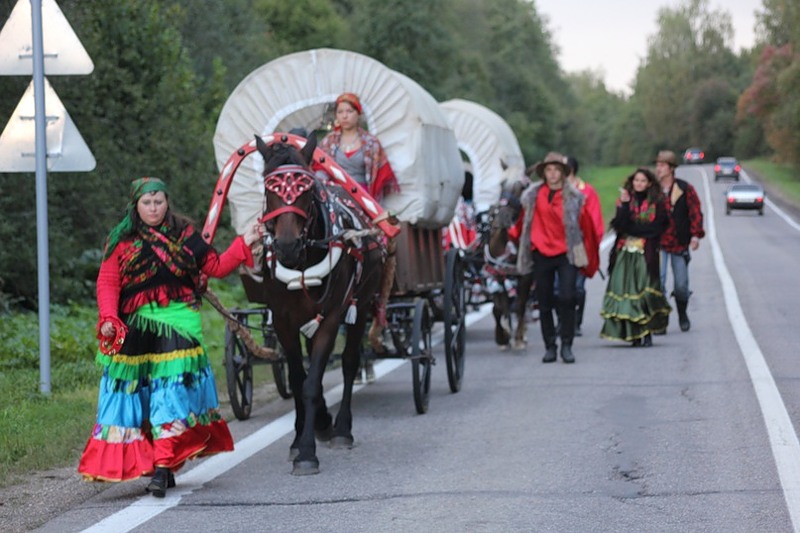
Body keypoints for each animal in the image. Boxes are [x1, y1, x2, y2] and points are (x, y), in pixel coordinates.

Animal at [253, 133, 384, 474]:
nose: (286, 246)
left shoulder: (333, 316)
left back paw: (340, 429)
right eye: (268, 189)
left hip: (361, 305)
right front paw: (299, 438)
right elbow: (300, 379)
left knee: (350, 361)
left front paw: (307, 452)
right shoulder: (284, 321)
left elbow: (312, 383)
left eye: (306, 190)